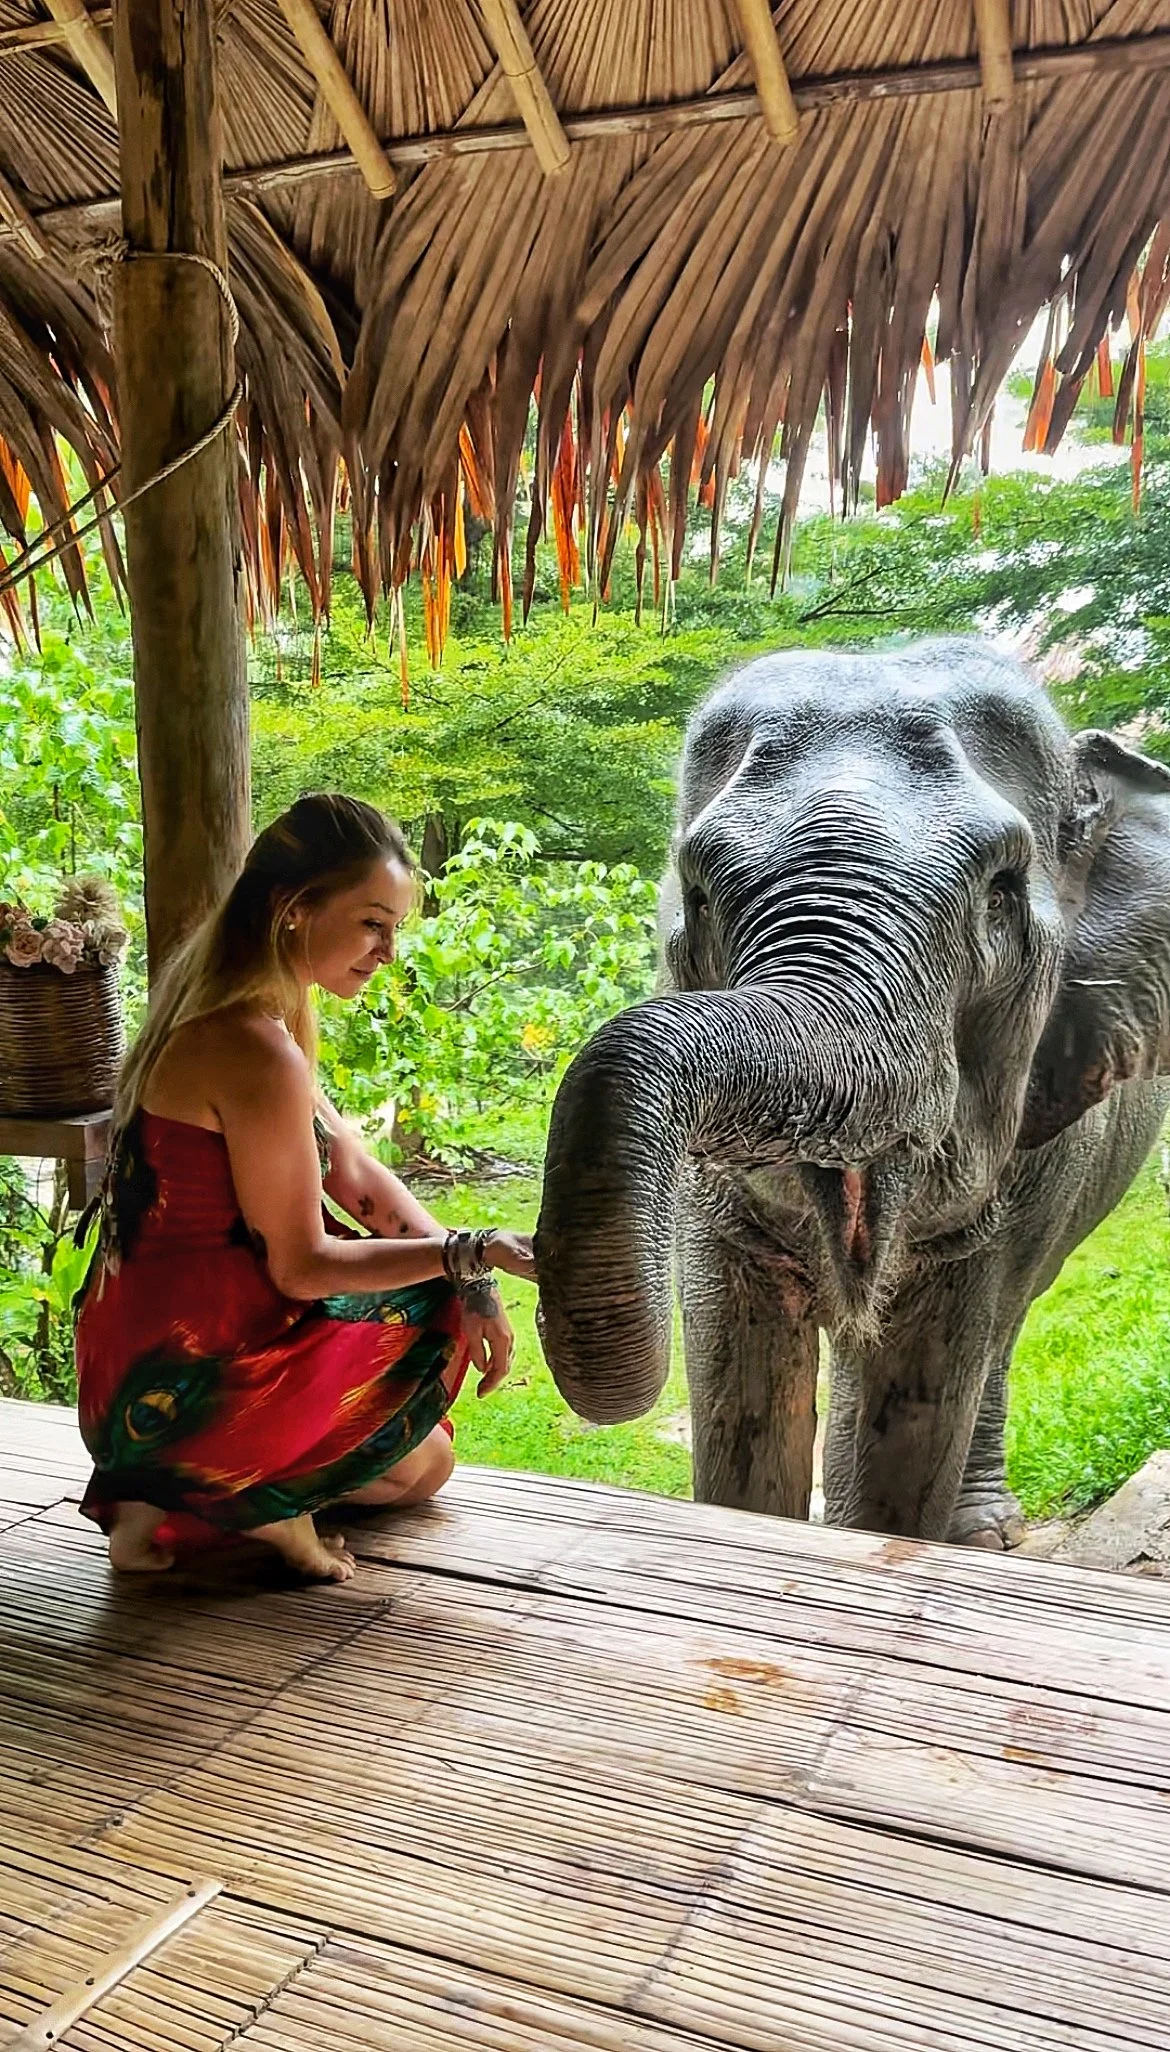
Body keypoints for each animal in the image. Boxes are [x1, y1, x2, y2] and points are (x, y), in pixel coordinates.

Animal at [535, 637, 1170, 1545]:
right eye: (699, 893)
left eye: (1000, 893)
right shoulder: (713, 1210)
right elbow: (737, 1383)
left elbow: (914, 1405)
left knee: (1007, 1322)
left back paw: (983, 1531)